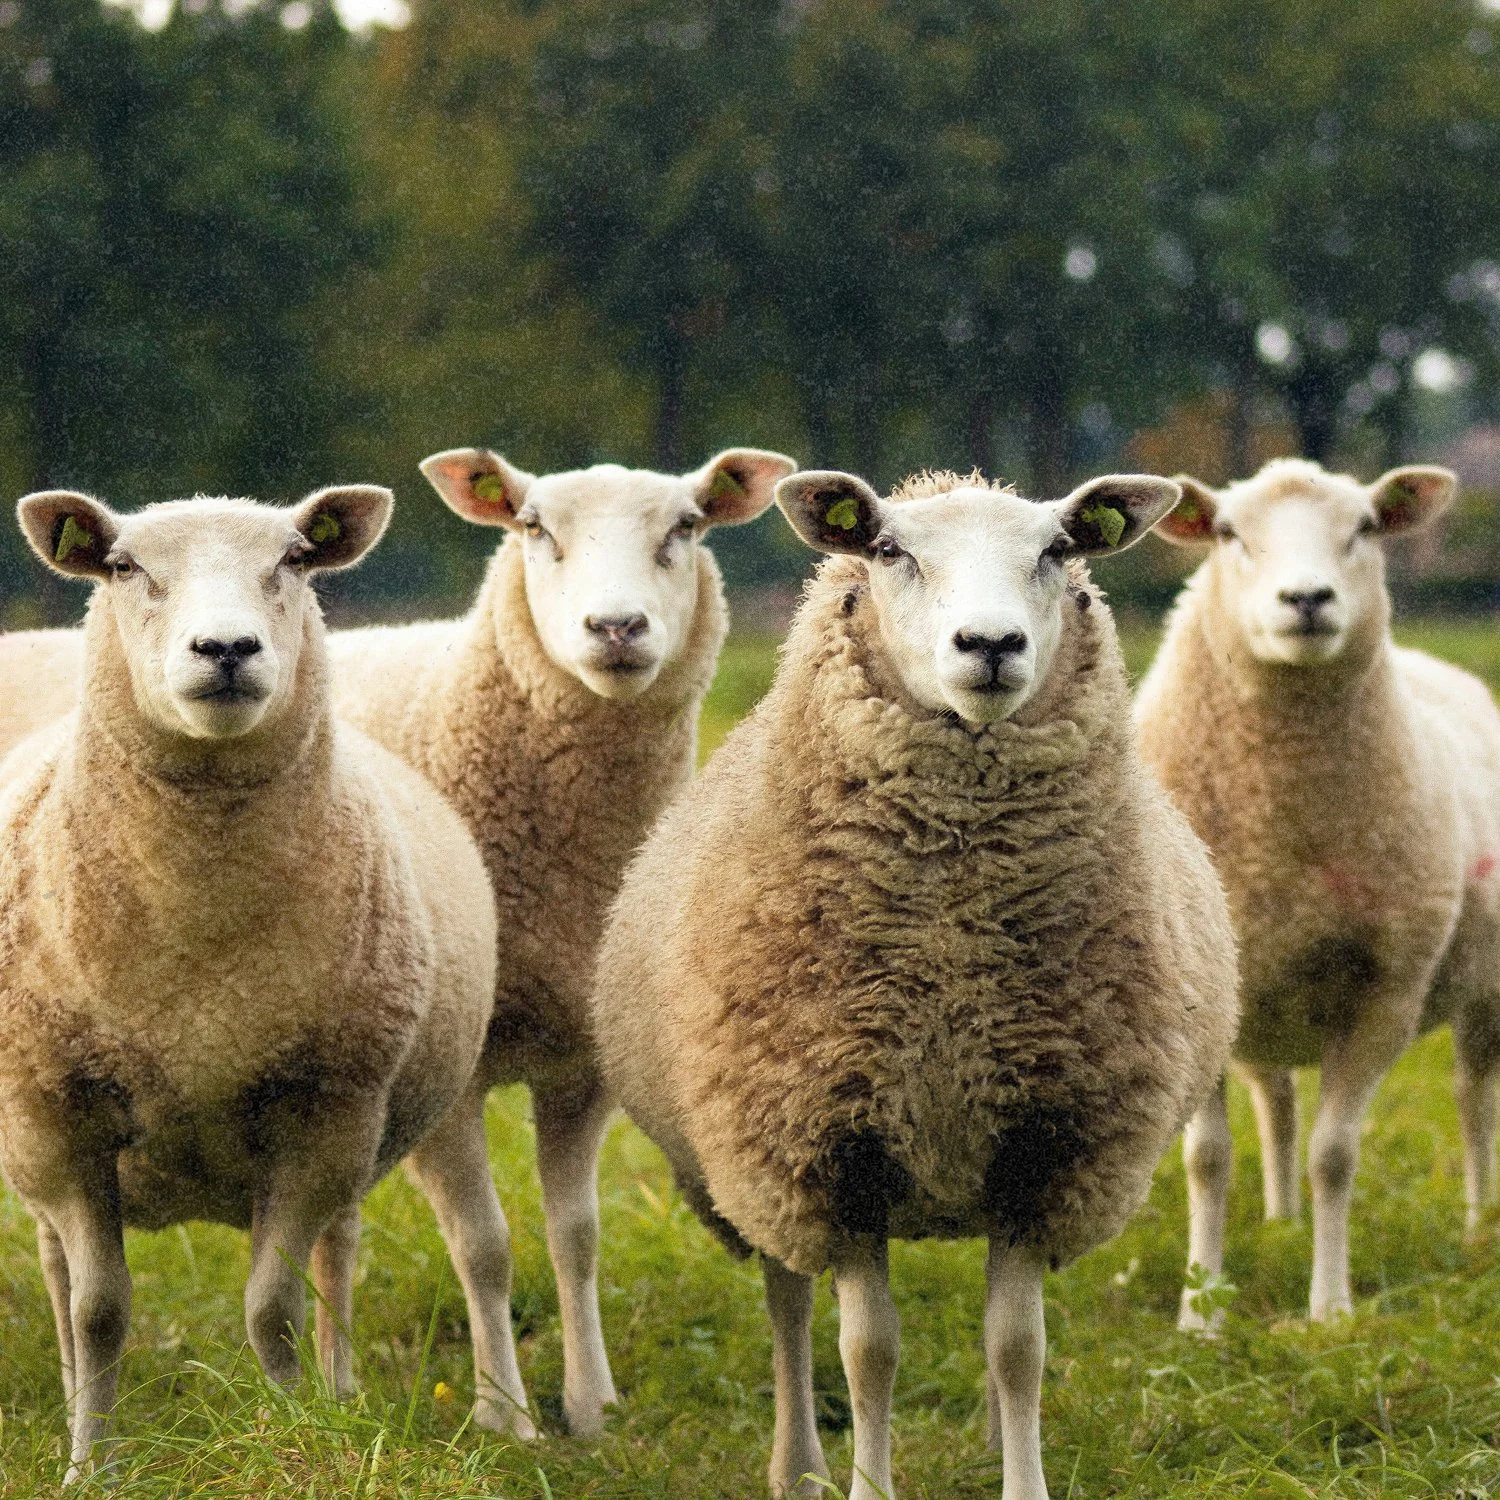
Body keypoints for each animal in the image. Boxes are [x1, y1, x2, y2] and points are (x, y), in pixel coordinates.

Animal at [0, 485, 506, 1479]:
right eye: (124, 567)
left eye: (294, 561)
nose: (226, 649)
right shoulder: (58, 1117)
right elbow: (97, 1310)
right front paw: (89, 1465)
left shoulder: (323, 1114)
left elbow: (275, 1308)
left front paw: (296, 1439)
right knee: (56, 1271)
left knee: (336, 1257)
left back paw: (342, 1399)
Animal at [326, 444, 796, 1436]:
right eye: (535, 528)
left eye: (687, 525)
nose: (615, 627)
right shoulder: (452, 1070)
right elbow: (484, 1246)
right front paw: (504, 1415)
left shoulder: (584, 1063)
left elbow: (575, 1238)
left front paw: (590, 1406)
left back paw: (329, 1385)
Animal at [590, 468, 1240, 1500]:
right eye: (890, 551)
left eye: (1060, 550)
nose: (991, 645)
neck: (951, 949)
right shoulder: (828, 1150)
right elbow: (868, 1354)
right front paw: (867, 1483)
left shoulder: (1043, 1147)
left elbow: (1018, 1348)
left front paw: (1023, 1480)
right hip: (756, 1171)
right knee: (787, 1306)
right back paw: (799, 1466)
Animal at [1136, 456, 1500, 1325]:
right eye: (1228, 533)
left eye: (1364, 527)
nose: (1306, 600)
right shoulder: (1198, 998)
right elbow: (1207, 1160)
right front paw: (1201, 1311)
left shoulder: (1386, 995)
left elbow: (1334, 1156)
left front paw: (1330, 1309)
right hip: (1261, 999)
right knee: (1276, 1104)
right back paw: (1279, 1224)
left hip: (1484, 989)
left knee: (1473, 1098)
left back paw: (1479, 1226)